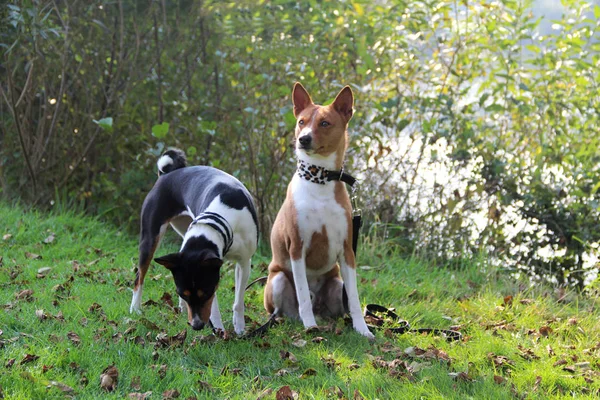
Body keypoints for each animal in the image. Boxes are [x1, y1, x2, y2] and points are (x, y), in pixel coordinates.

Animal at [131, 148, 258, 334]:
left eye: (204, 293)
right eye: (182, 292)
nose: (196, 326)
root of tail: (166, 174)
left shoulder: (243, 262)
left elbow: (238, 302)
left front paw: (240, 328)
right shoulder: (214, 274)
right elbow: (214, 308)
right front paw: (218, 330)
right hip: (150, 238)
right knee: (139, 277)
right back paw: (135, 309)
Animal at [264, 83, 372, 340]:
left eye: (324, 123)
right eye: (301, 122)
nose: (303, 139)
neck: (319, 179)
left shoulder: (347, 250)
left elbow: (355, 299)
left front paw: (363, 329)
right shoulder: (297, 248)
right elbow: (303, 294)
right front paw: (310, 327)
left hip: (336, 284)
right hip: (278, 280)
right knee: (286, 309)